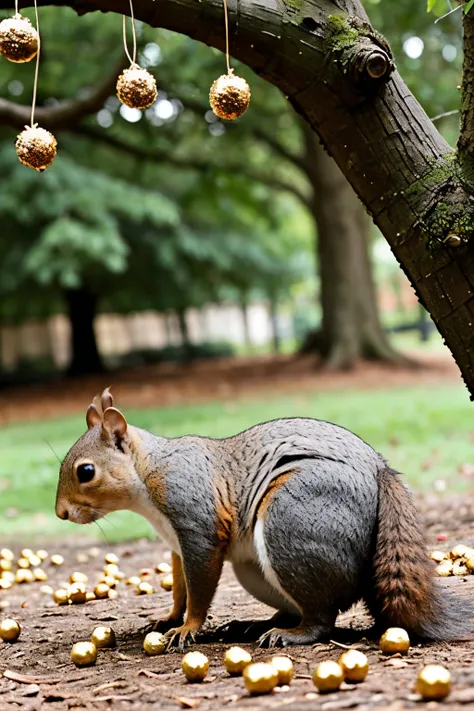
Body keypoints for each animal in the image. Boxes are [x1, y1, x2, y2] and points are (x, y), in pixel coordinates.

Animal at [55, 392, 470, 648]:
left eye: (86, 471)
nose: (61, 513)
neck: (148, 474)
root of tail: (379, 470)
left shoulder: (198, 527)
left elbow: (199, 589)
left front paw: (188, 628)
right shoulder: (176, 546)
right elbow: (179, 588)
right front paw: (169, 618)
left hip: (290, 524)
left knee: (322, 619)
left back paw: (290, 634)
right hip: (256, 567)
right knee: (295, 608)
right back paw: (258, 624)